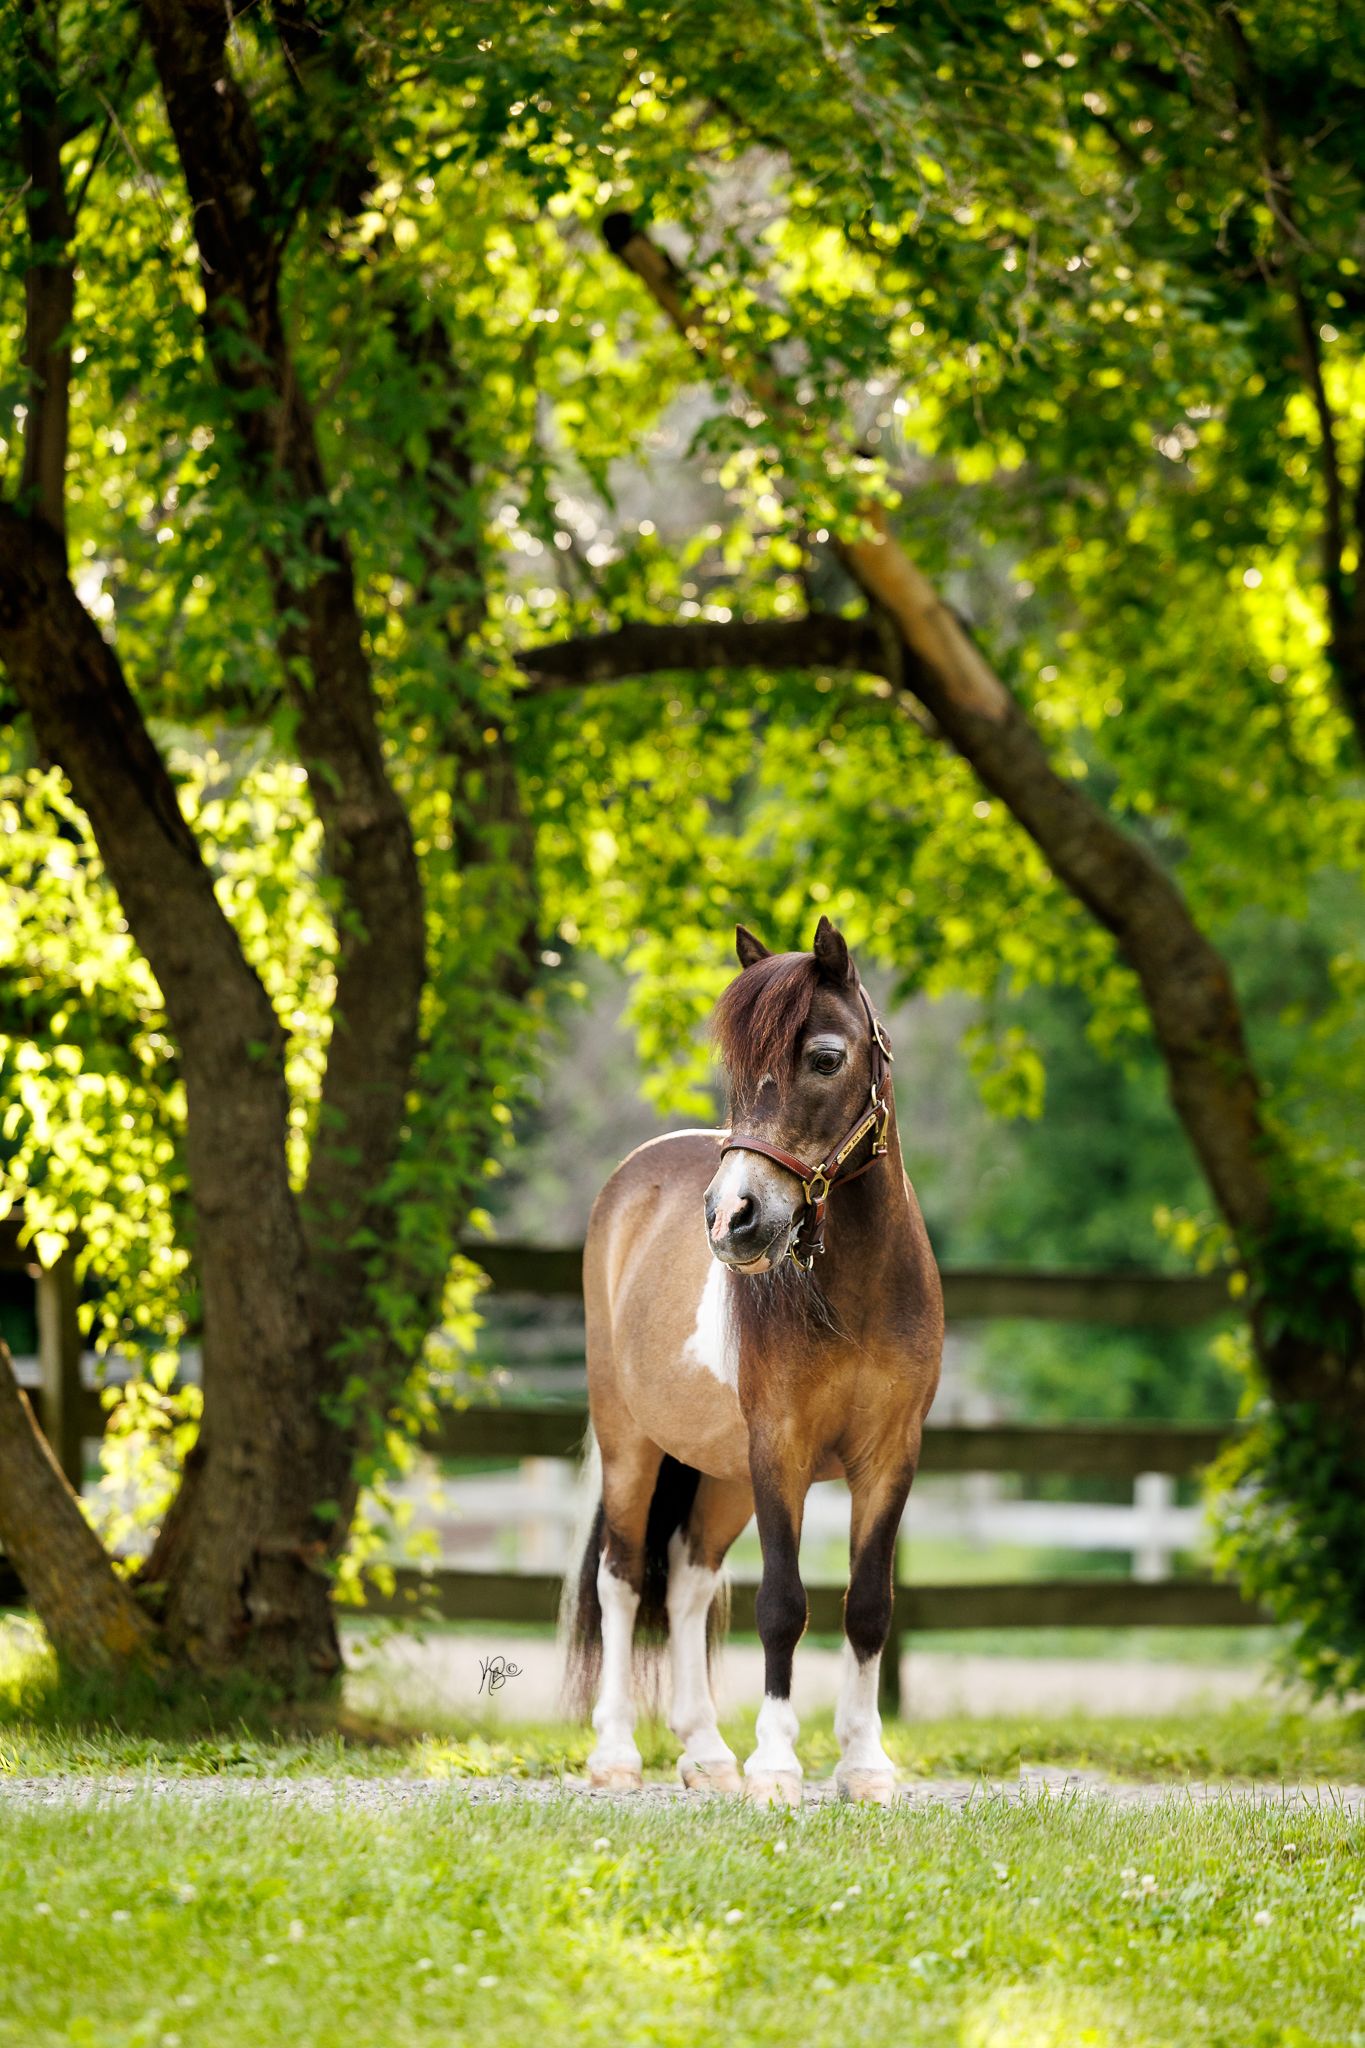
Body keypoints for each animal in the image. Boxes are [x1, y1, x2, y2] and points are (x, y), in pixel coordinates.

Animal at [562, 916, 944, 1805]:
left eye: (826, 1058)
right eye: (736, 1068)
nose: (732, 1216)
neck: (858, 1293)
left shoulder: (889, 1457)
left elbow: (866, 1605)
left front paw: (864, 1765)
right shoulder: (782, 1451)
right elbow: (781, 1604)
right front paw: (777, 1766)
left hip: (722, 1471)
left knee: (689, 1578)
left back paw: (705, 1754)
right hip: (632, 1444)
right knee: (622, 1577)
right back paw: (616, 1753)